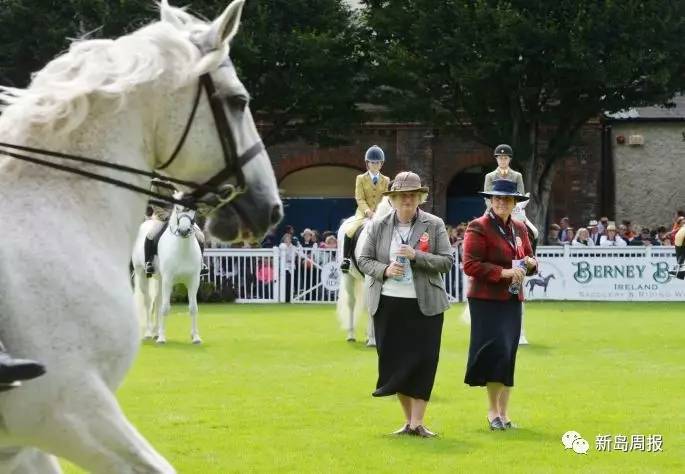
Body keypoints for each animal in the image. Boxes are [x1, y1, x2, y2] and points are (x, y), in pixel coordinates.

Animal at [132, 193, 203, 344]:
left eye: (193, 209)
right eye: (177, 208)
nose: (184, 231)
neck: (182, 249)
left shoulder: (193, 281)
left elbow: (193, 308)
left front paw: (195, 337)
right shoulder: (168, 280)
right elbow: (165, 308)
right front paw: (162, 338)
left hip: (159, 279)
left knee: (157, 301)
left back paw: (155, 333)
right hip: (142, 274)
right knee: (149, 302)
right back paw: (149, 333)